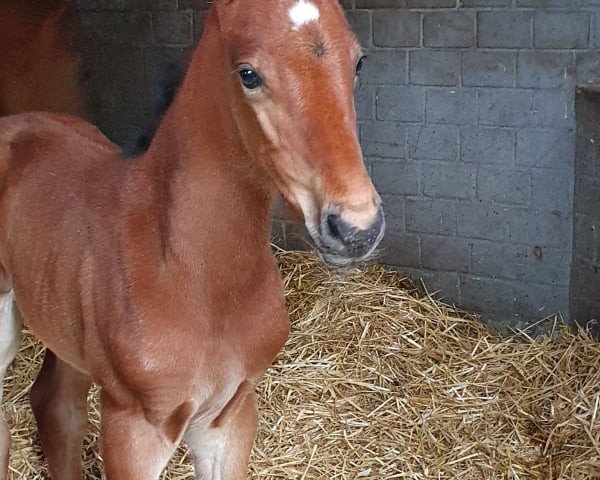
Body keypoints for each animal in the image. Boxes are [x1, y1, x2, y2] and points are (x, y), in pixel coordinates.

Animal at [0, 0, 384, 476]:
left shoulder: (230, 417)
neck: (197, 281)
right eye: (247, 73)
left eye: (359, 61)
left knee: (56, 407)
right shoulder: (134, 430)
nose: (356, 228)